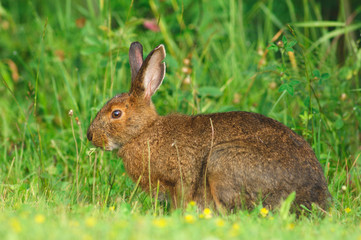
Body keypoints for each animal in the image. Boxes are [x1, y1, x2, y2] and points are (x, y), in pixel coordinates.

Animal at [86, 41, 330, 212]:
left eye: (116, 113)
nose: (90, 136)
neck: (144, 131)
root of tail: (315, 195)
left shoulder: (178, 179)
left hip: (221, 162)